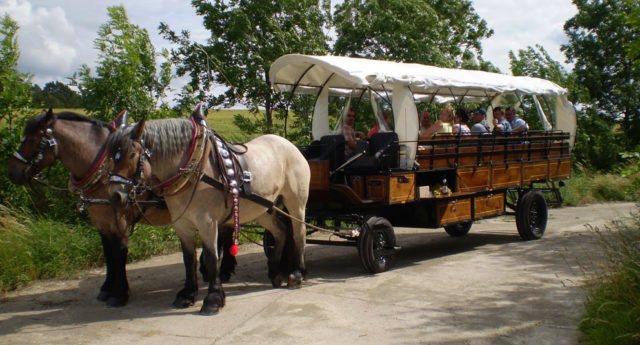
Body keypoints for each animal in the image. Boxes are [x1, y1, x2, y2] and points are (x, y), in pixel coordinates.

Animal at [5, 108, 239, 306]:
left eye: (31, 139)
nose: (12, 173)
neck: (100, 170)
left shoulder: (119, 219)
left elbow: (119, 253)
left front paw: (119, 293)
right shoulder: (101, 219)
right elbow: (108, 252)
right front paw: (107, 288)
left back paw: (221, 269)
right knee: (225, 233)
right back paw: (218, 268)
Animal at [106, 107, 312, 314]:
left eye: (132, 154)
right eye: (110, 156)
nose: (115, 196)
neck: (193, 168)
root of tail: (289, 145)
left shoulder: (207, 222)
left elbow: (212, 257)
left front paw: (213, 298)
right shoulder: (182, 225)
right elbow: (189, 259)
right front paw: (187, 294)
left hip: (295, 202)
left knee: (299, 232)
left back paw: (297, 274)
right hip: (263, 208)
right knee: (281, 231)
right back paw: (276, 273)